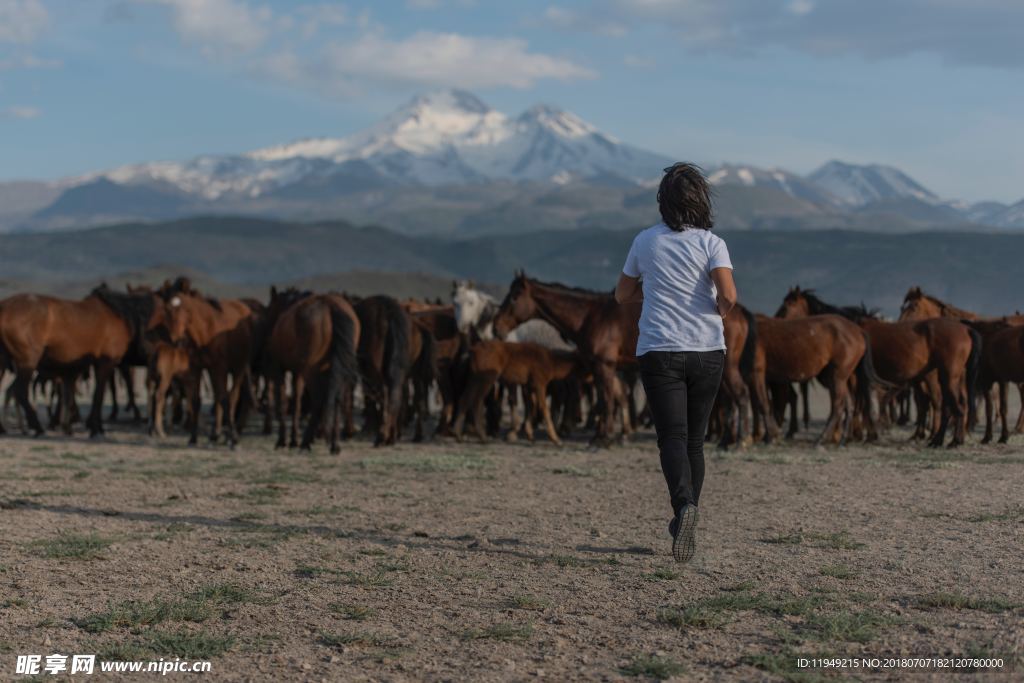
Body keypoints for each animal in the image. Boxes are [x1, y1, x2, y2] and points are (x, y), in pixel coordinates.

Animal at [0, 286, 162, 438]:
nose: (149, 351)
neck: (119, 316)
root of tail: (4, 308)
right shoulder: (106, 362)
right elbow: (98, 395)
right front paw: (95, 427)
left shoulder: (75, 371)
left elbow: (73, 396)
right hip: (28, 362)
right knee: (20, 391)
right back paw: (37, 427)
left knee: (12, 391)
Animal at [262, 290, 362, 454]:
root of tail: (332, 306)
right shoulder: (298, 373)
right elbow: (296, 403)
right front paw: (293, 440)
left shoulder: (279, 369)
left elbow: (282, 401)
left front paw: (283, 441)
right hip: (338, 369)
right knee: (337, 399)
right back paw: (334, 444)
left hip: (311, 370)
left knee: (319, 400)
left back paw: (306, 442)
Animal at [454, 339, 589, 446]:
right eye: (585, 362)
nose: (590, 379)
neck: (551, 361)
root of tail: (472, 350)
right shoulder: (540, 384)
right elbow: (543, 409)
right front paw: (556, 440)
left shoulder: (528, 387)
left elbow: (531, 407)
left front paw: (530, 436)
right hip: (485, 379)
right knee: (476, 402)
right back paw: (482, 437)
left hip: (474, 378)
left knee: (465, 399)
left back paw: (459, 436)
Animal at [491, 272, 634, 448]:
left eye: (515, 296)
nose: (496, 327)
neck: (593, 316)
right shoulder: (598, 367)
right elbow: (602, 400)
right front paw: (599, 436)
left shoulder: (604, 365)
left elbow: (606, 399)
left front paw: (604, 438)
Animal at [778, 286, 978, 446]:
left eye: (786, 306)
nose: (776, 320)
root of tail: (965, 329)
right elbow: (862, 403)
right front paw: (864, 434)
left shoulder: (852, 377)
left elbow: (856, 404)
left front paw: (854, 435)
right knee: (947, 404)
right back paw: (940, 437)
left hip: (939, 377)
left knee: (942, 403)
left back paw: (942, 438)